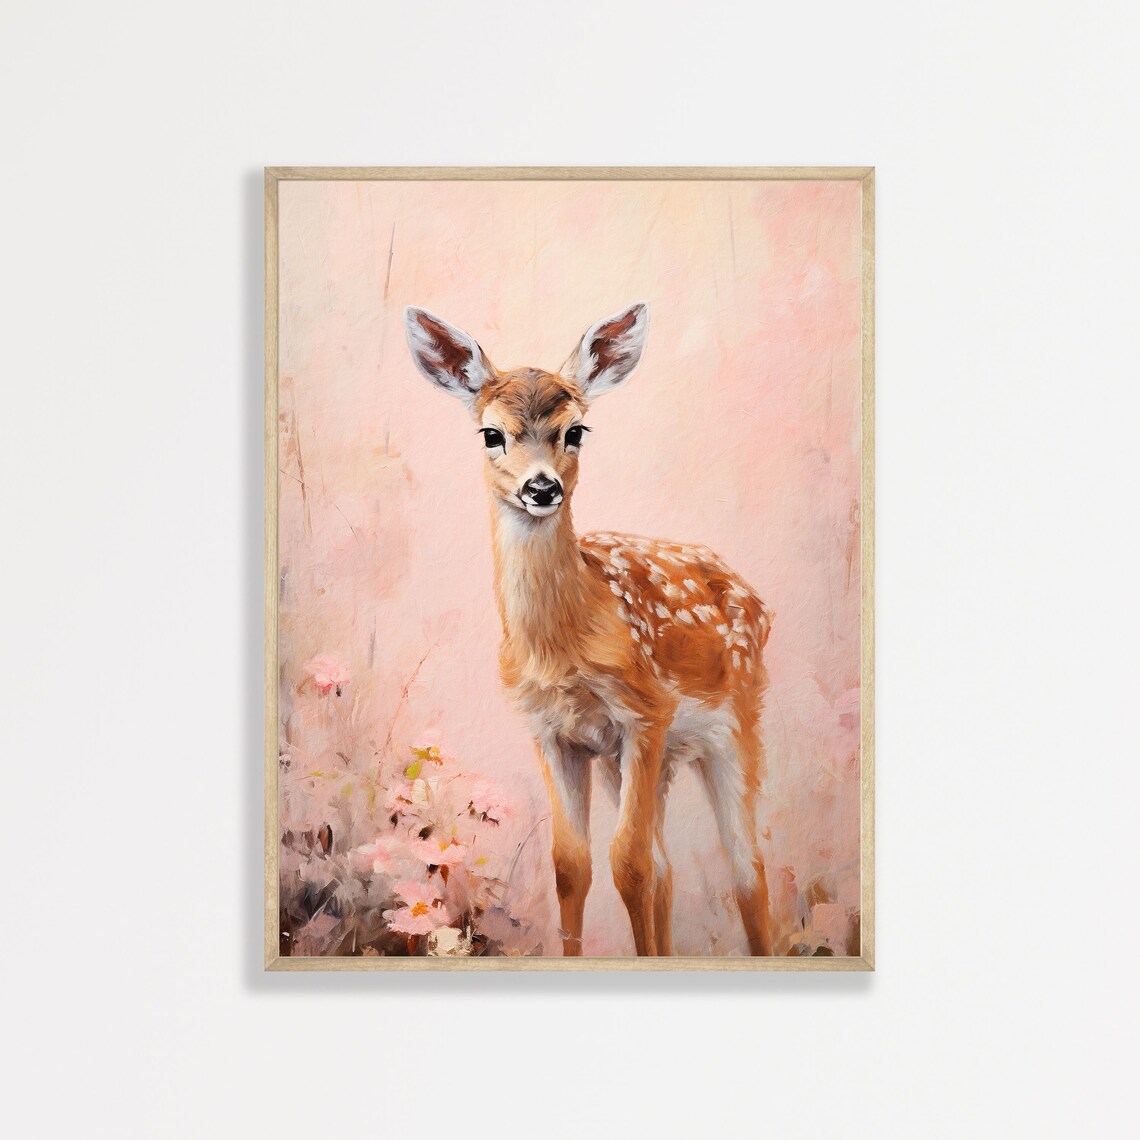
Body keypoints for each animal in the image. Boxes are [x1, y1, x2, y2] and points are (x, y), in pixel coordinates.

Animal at [403, 302, 774, 957]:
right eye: (491, 434)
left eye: (575, 431)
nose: (541, 487)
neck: (562, 647)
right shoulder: (555, 733)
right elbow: (571, 864)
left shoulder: (645, 713)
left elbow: (629, 864)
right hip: (642, 761)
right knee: (670, 868)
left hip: (734, 723)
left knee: (746, 871)